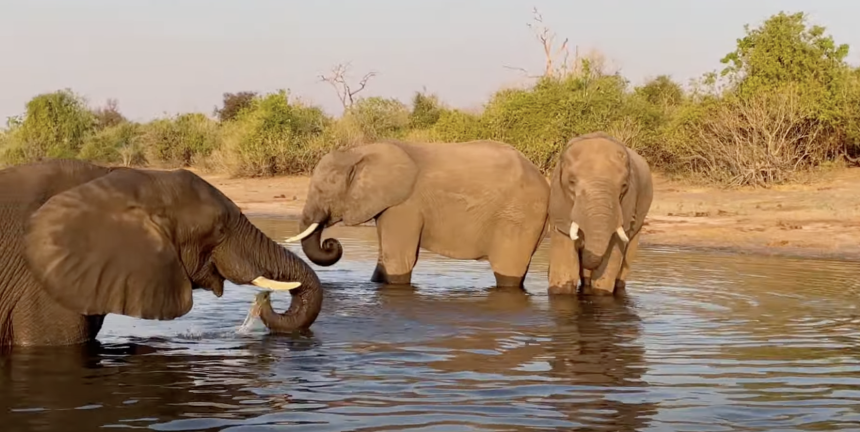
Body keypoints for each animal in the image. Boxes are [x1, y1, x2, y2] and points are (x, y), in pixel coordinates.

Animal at [286, 140, 548, 288]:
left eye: (323, 190)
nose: (331, 243)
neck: (359, 152)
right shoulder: (389, 205)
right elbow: (385, 258)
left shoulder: (405, 205)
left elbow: (398, 259)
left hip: (518, 217)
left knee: (508, 270)